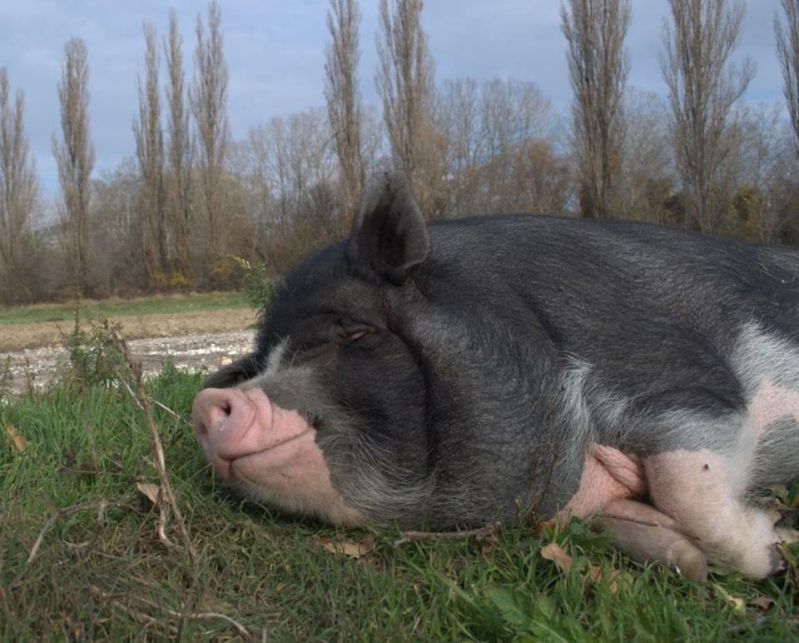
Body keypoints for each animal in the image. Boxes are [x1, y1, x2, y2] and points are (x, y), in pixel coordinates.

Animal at [194, 172, 799, 584]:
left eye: (357, 332)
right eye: (258, 364)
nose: (207, 402)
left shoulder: (682, 378)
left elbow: (690, 484)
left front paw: (773, 545)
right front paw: (691, 561)